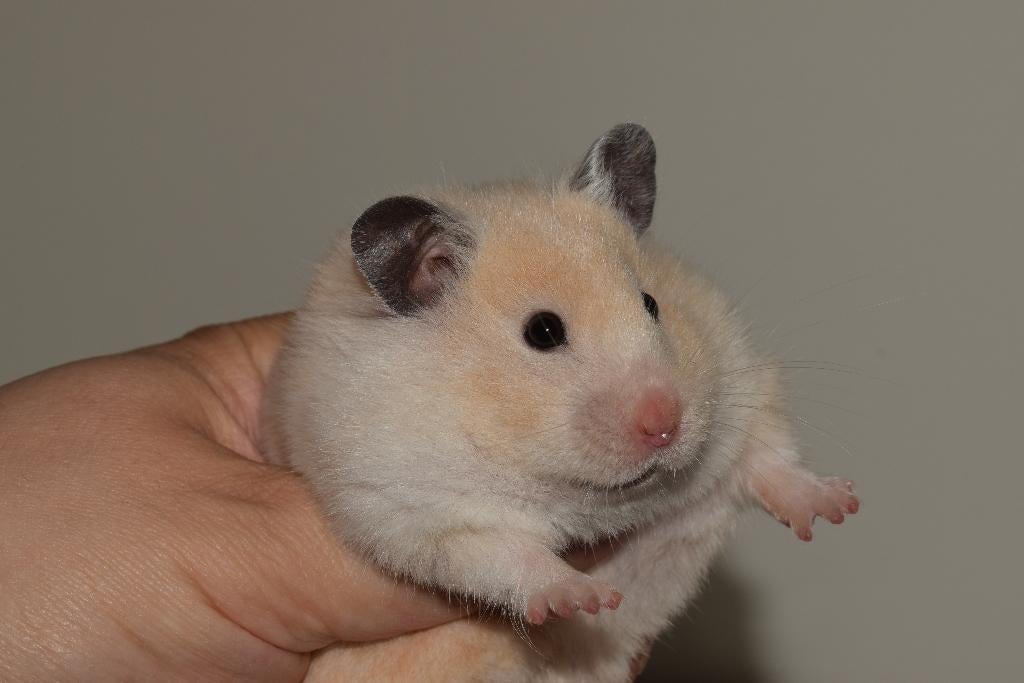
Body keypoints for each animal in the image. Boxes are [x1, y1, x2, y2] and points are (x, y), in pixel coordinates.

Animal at [262, 123, 858, 682]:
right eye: (542, 332)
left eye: (651, 303)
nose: (665, 425)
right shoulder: (411, 507)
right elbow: (506, 553)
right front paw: (586, 599)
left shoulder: (741, 379)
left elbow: (768, 460)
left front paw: (838, 505)